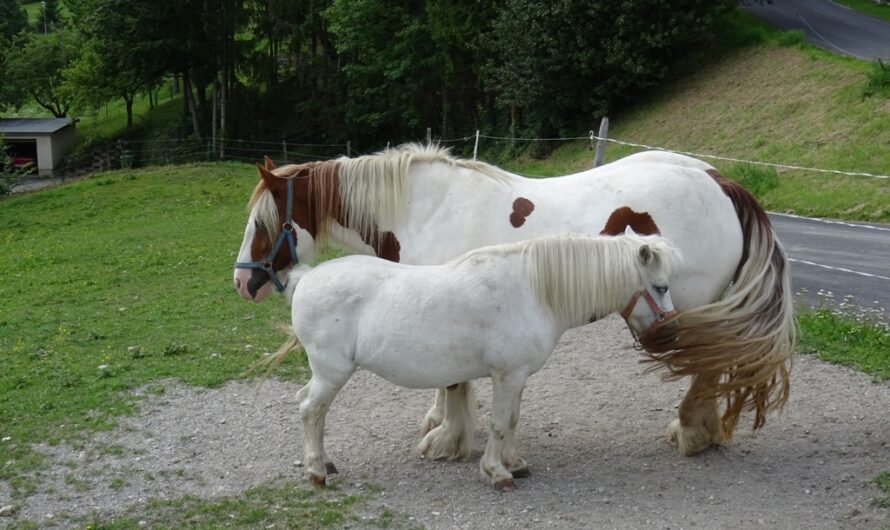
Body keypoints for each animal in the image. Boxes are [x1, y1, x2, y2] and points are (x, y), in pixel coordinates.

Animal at [232, 145, 796, 462]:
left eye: (261, 223)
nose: (243, 282)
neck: (422, 207)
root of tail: (719, 181)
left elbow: (455, 384)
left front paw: (449, 440)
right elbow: (449, 382)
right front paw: (444, 426)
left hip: (689, 309)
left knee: (707, 365)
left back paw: (692, 432)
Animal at [288, 232, 676, 490]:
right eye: (661, 287)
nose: (670, 333)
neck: (532, 291)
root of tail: (307, 277)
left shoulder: (517, 376)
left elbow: (513, 420)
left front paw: (514, 462)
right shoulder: (508, 375)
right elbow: (500, 423)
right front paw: (497, 472)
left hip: (323, 373)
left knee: (310, 408)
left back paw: (324, 463)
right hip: (332, 372)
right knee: (310, 410)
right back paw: (316, 471)